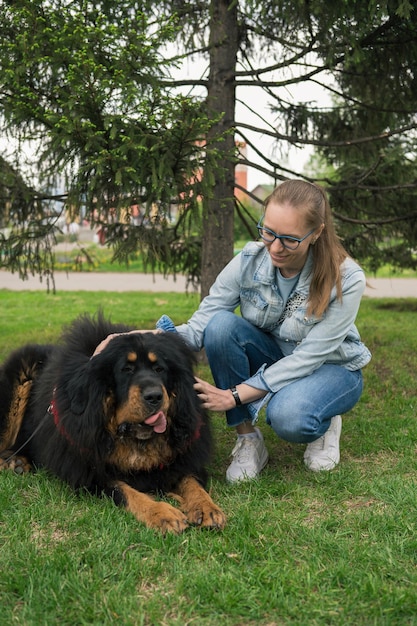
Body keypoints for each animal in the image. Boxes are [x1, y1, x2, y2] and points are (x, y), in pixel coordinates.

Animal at [0, 312, 224, 532]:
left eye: (160, 369)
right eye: (126, 370)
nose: (154, 396)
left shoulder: (182, 458)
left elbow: (191, 481)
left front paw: (206, 507)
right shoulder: (89, 473)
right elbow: (125, 490)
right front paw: (162, 513)